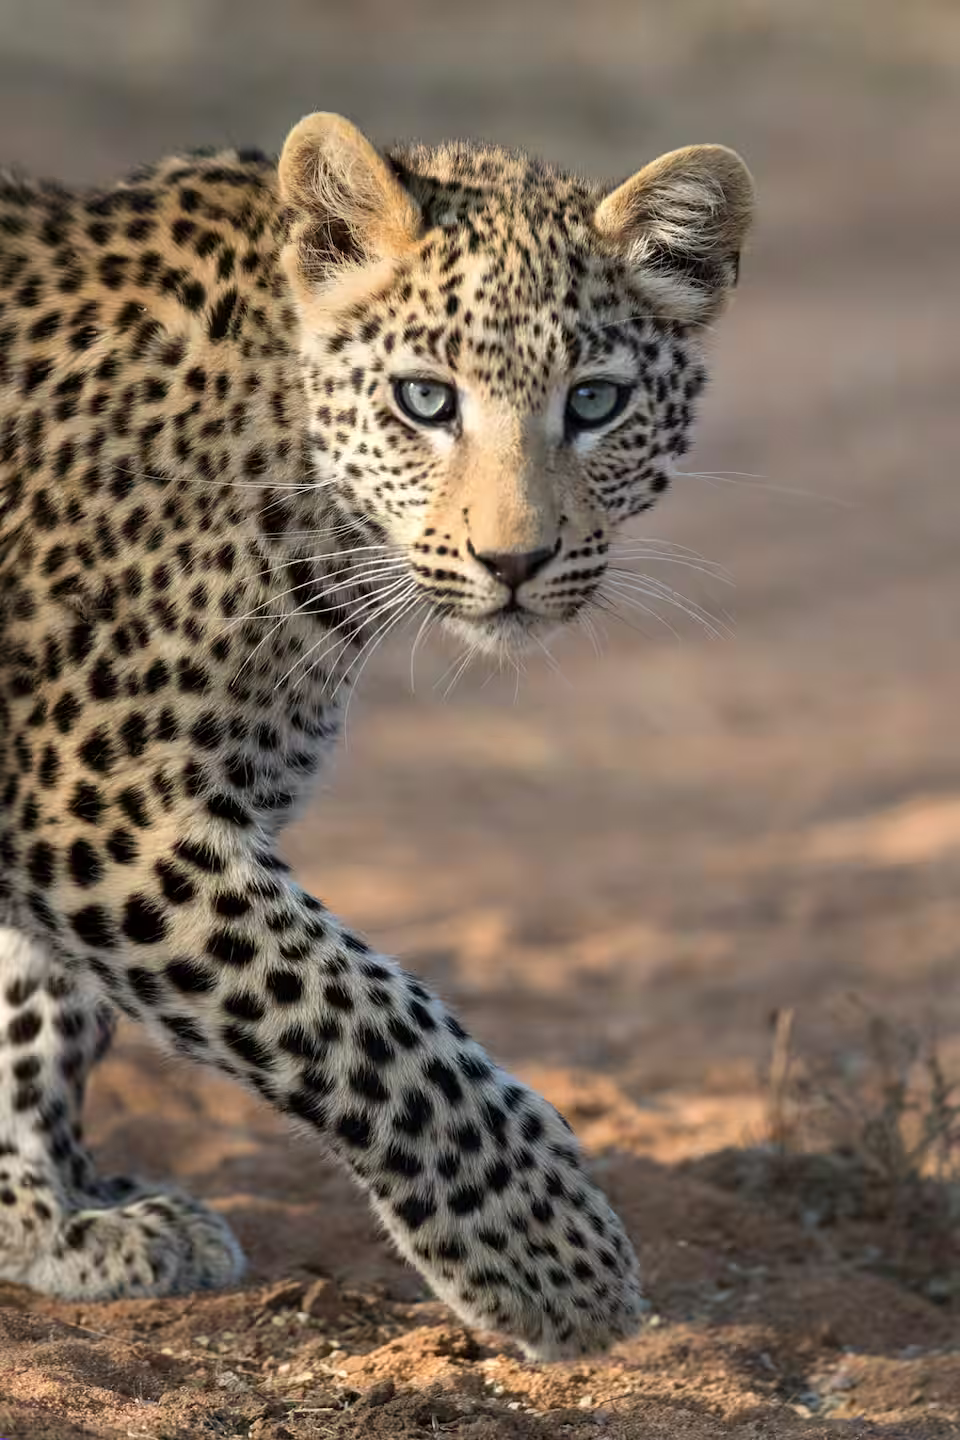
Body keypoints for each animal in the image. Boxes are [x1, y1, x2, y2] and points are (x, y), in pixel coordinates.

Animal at [0, 112, 753, 1359]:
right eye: (424, 400)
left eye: (595, 404)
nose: (515, 562)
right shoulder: (92, 799)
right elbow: (360, 1019)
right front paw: (557, 1261)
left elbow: (35, 1011)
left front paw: (44, 1223)